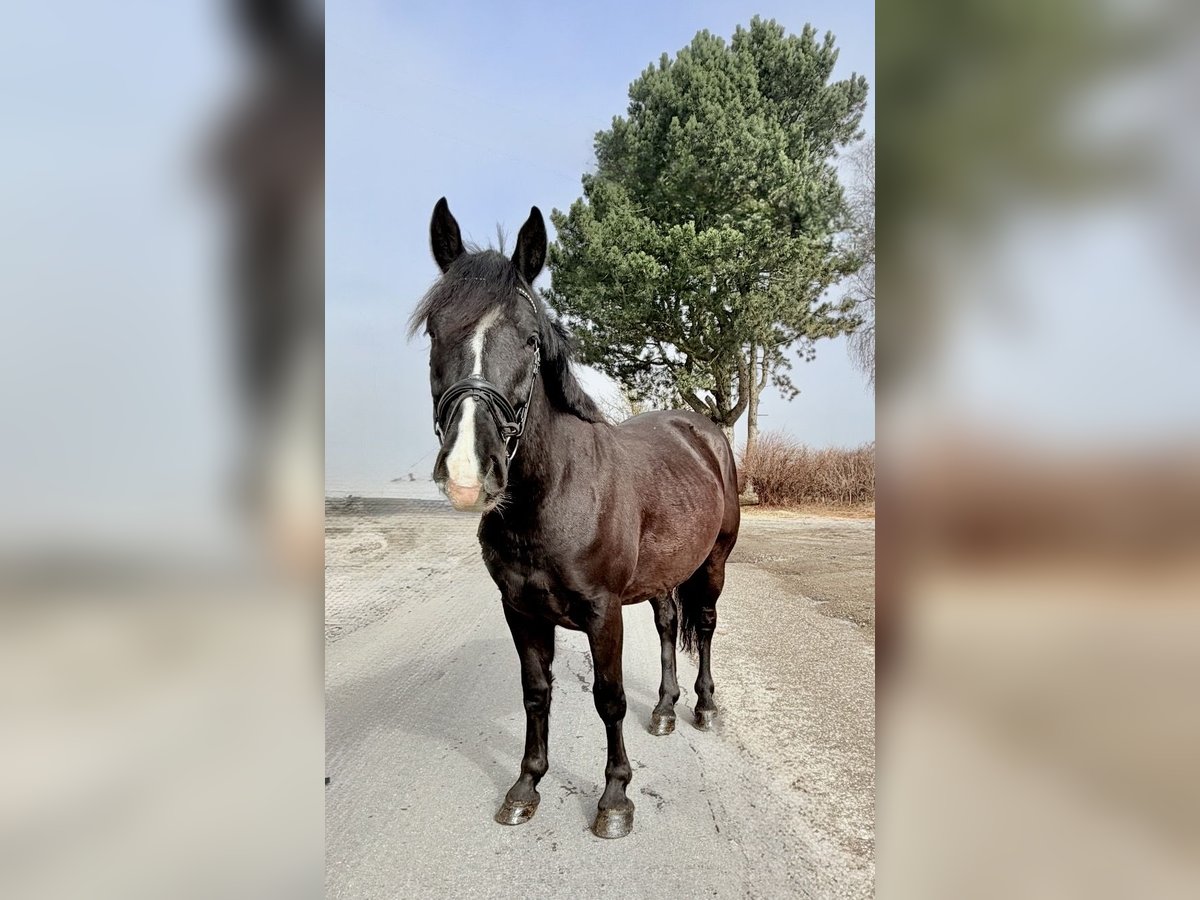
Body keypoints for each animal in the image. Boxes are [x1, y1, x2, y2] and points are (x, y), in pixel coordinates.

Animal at [408, 198, 740, 839]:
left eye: (532, 339)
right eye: (435, 332)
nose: (468, 471)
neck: (552, 497)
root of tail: (702, 431)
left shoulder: (603, 613)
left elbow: (609, 699)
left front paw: (614, 799)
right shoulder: (519, 610)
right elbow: (537, 693)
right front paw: (526, 786)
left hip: (713, 562)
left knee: (706, 626)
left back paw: (705, 707)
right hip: (662, 575)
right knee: (668, 625)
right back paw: (665, 709)